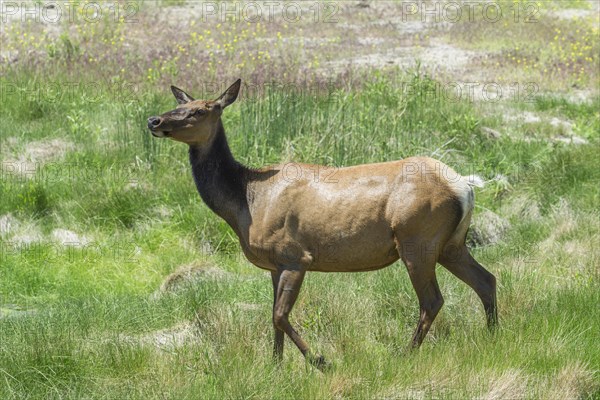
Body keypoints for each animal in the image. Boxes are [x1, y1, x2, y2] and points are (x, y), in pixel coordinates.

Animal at [149, 79, 496, 370]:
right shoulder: (274, 264)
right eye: (179, 105)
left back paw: (405, 354)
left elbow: (280, 315)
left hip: (417, 239)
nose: (154, 121)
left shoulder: (295, 255)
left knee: (432, 300)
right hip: (451, 244)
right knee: (486, 280)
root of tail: (465, 186)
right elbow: (272, 316)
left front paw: (320, 360)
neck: (246, 201)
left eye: (199, 110)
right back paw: (493, 336)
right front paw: (276, 366)